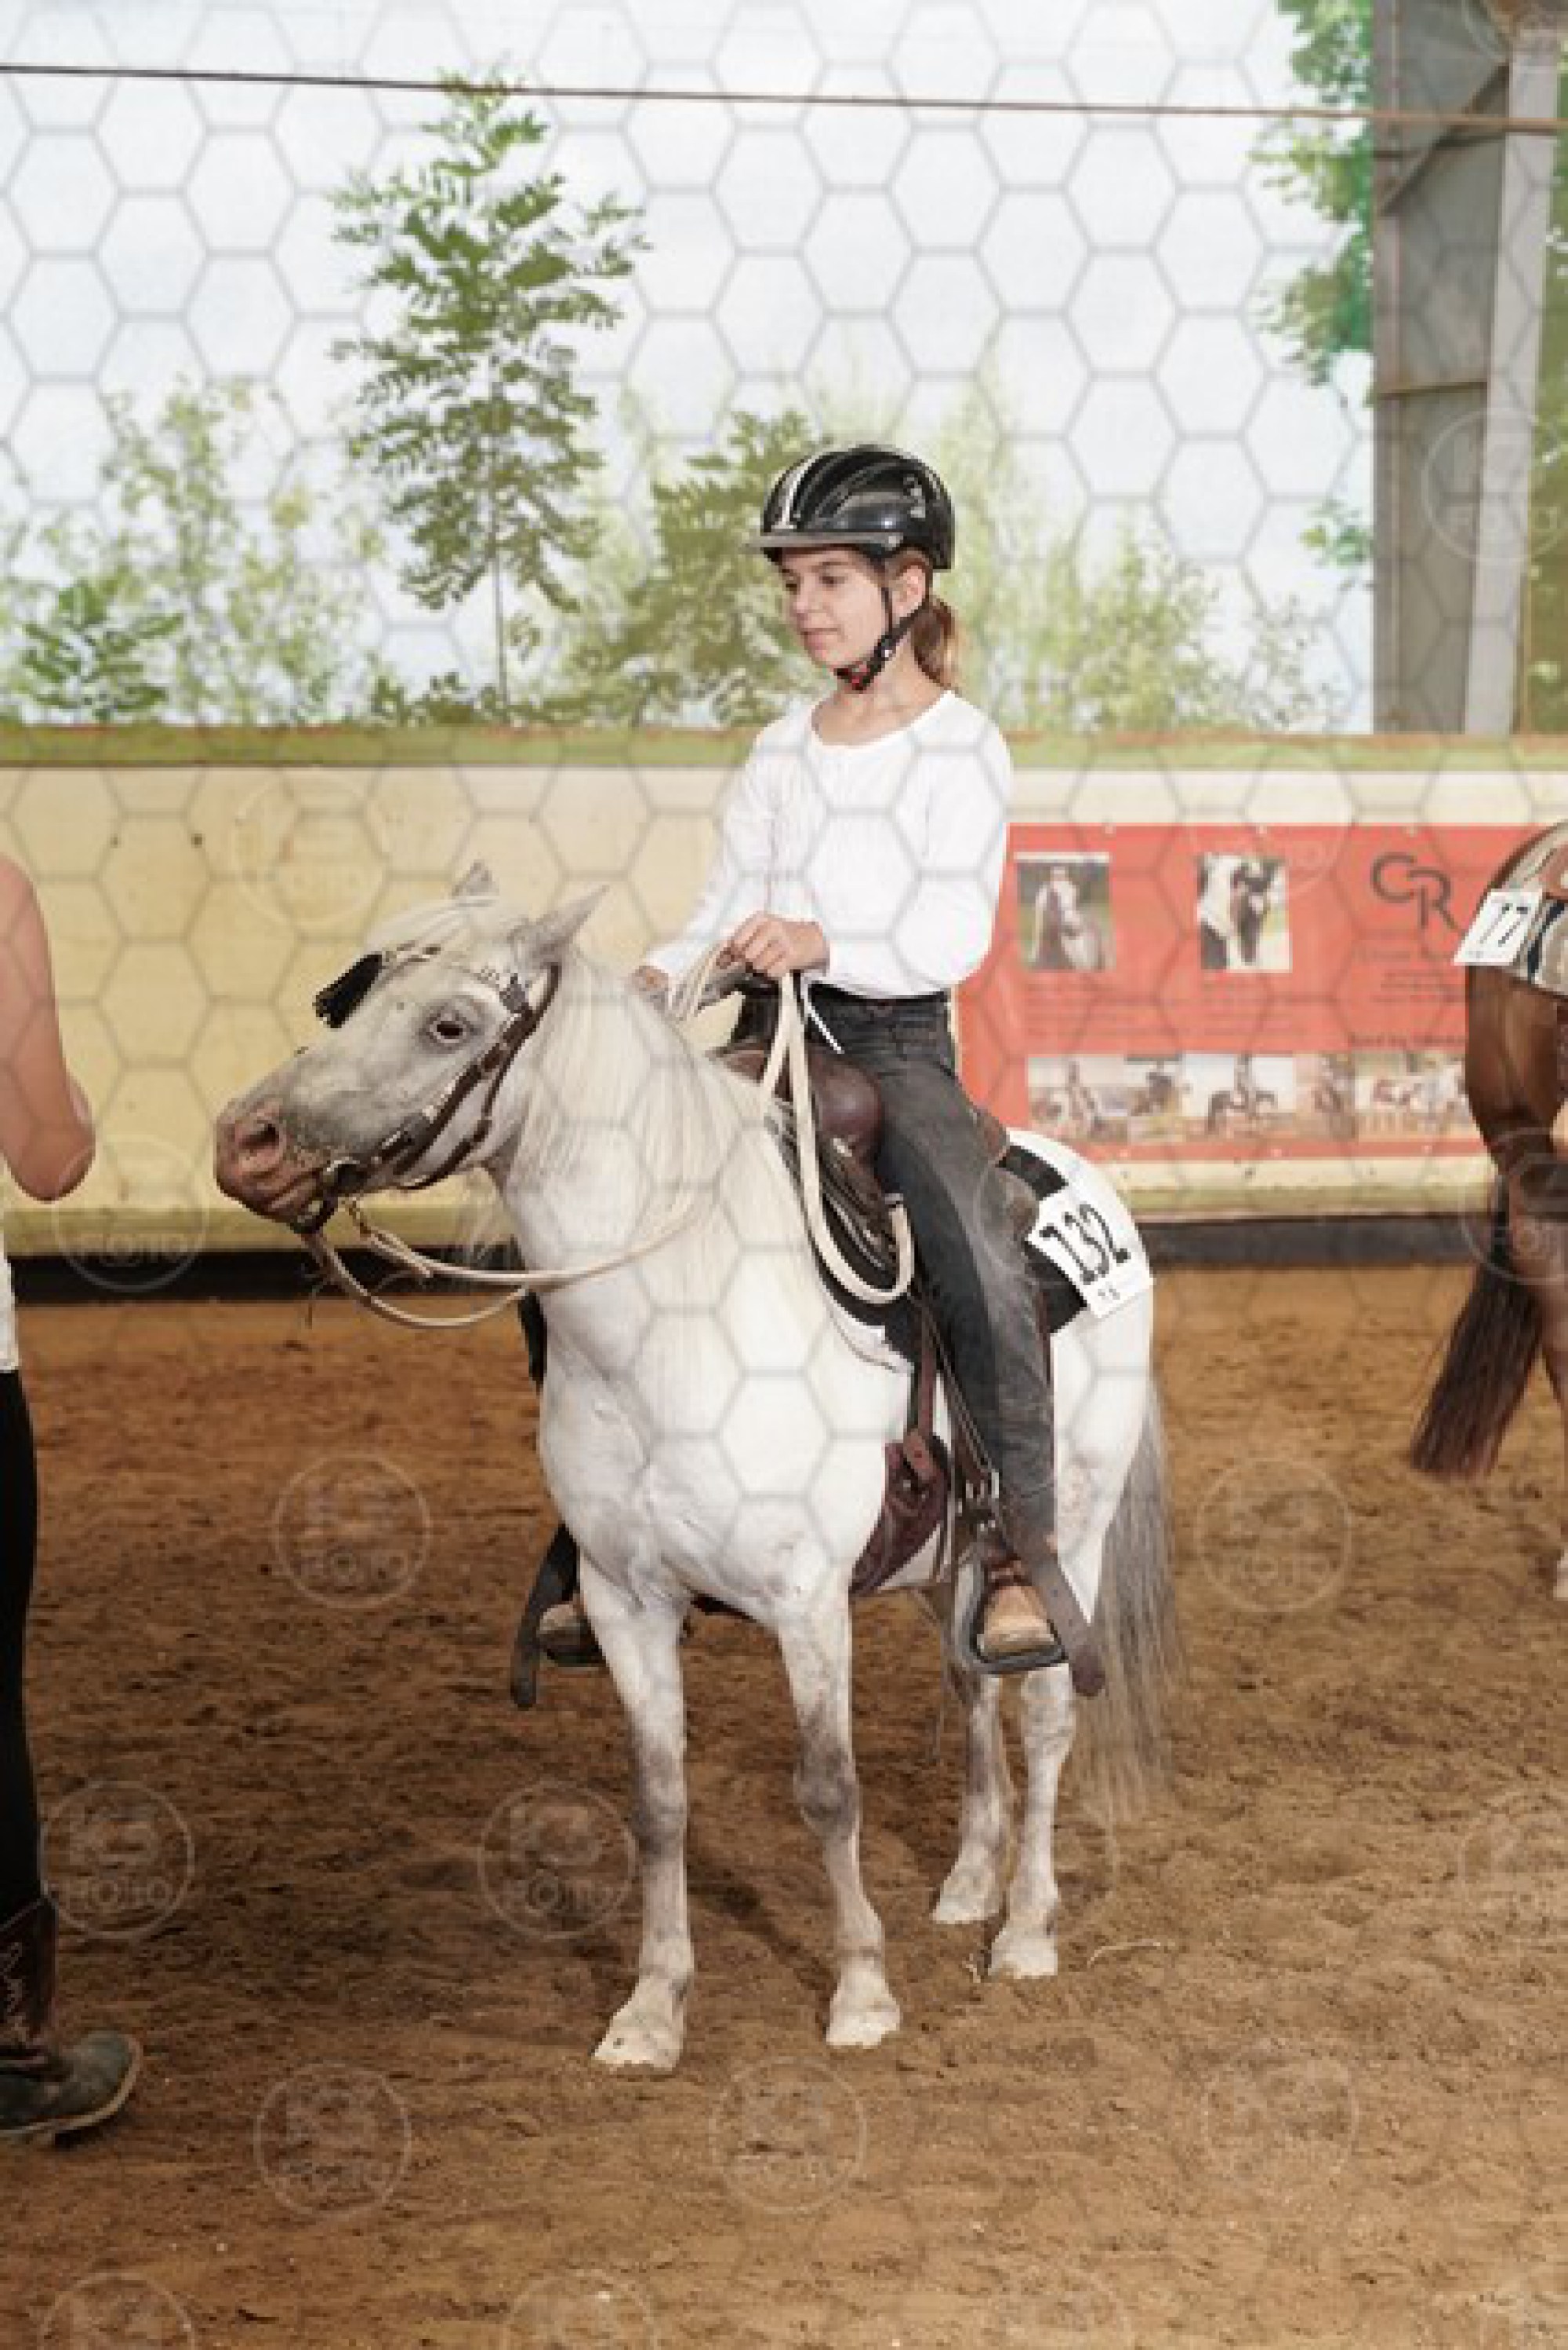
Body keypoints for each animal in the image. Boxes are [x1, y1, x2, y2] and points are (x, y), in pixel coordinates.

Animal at [213, 876, 1176, 2074]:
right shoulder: (627, 1601)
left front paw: (861, 1992)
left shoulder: (807, 1601)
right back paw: (964, 1885)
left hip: (1068, 1533)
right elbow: (660, 1800)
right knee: (971, 1682)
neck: (675, 1321)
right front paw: (651, 2008)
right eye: (345, 1000)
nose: (245, 1143)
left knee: (1043, 1709)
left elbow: (829, 1790)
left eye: (449, 1024)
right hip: (945, 1558)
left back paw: (1029, 1928)